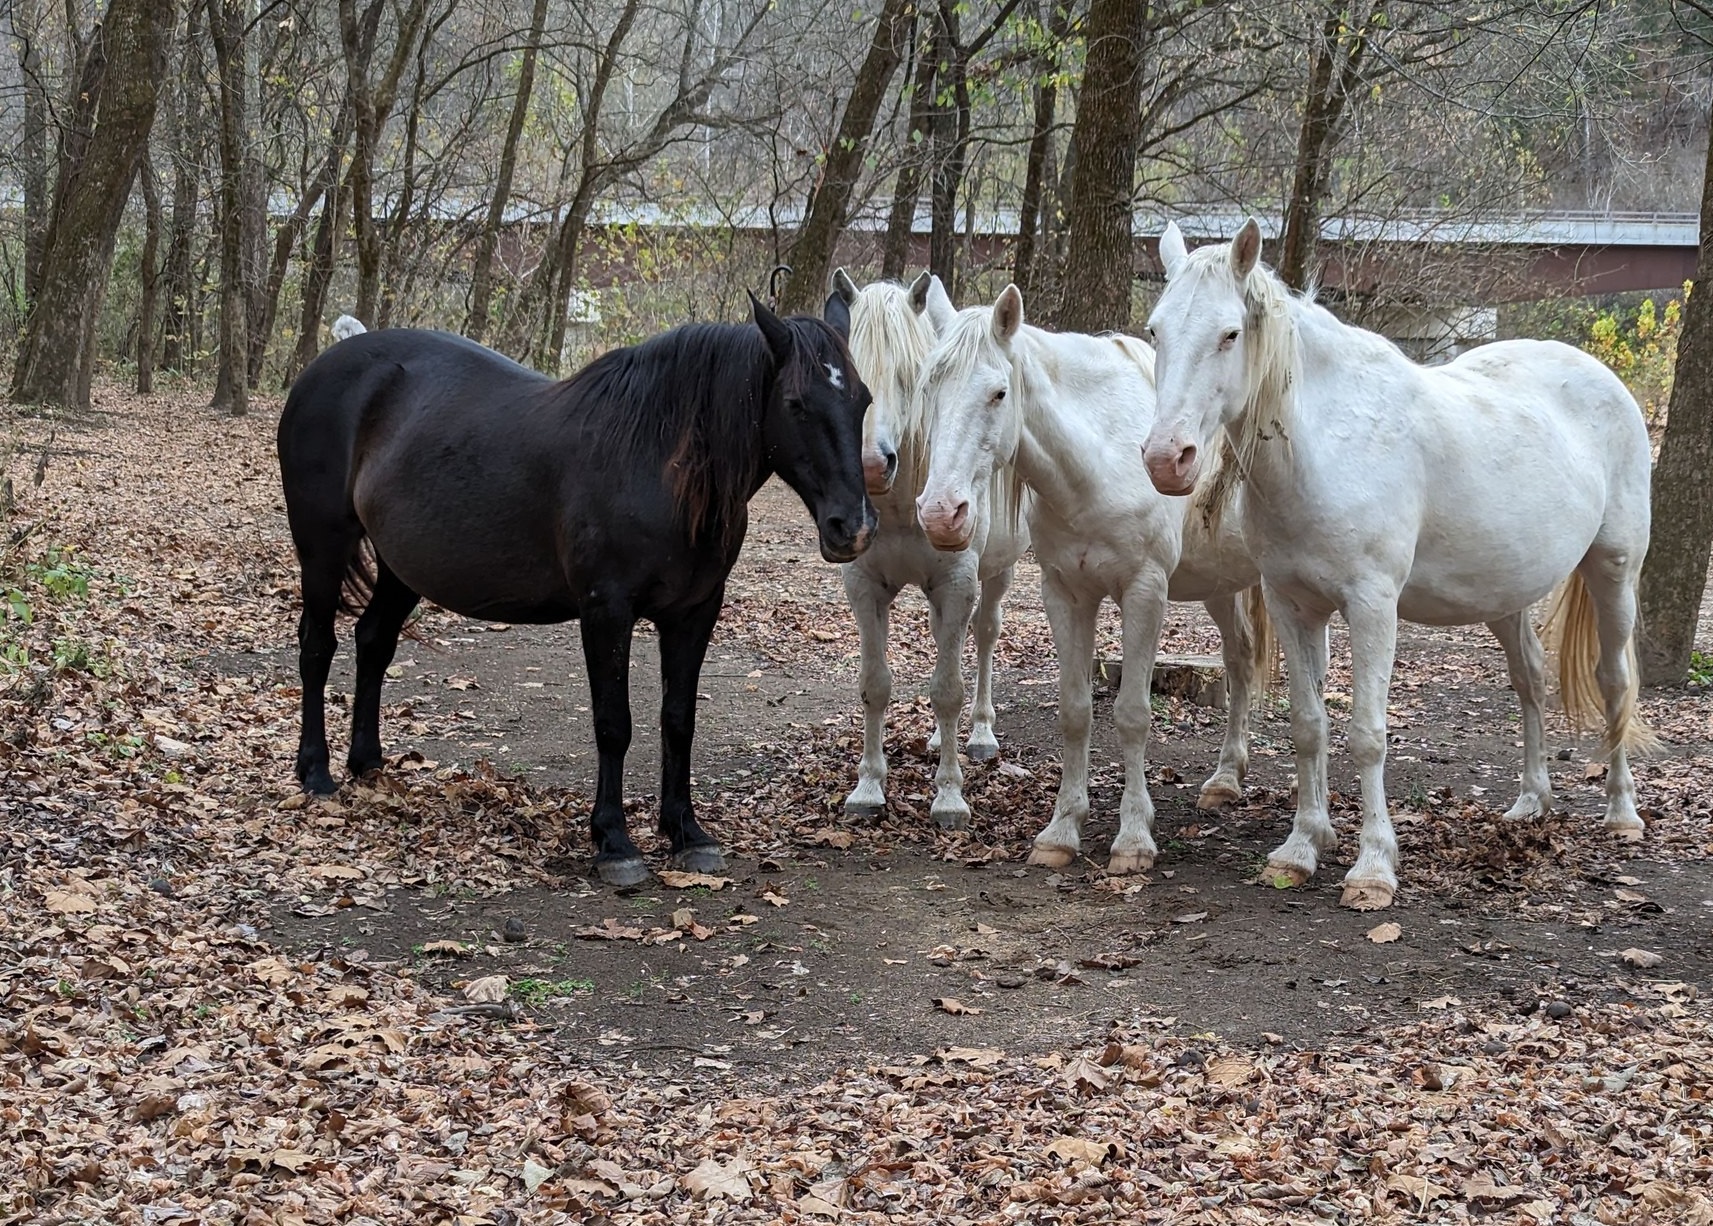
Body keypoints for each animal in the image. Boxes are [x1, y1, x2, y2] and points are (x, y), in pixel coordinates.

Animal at [277, 296, 876, 887]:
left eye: (864, 399)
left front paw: (687, 833)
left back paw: (368, 765)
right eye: (796, 403)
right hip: (323, 546)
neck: (656, 461)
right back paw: (316, 772)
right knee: (318, 647)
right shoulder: (606, 611)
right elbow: (614, 724)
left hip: (401, 568)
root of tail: (326, 367)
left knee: (373, 642)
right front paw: (614, 843)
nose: (852, 527)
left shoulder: (694, 613)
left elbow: (678, 720)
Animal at [823, 268, 1030, 828]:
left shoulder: (958, 585)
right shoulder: (865, 588)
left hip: (995, 578)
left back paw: (978, 734)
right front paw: (869, 787)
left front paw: (949, 796)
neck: (898, 507)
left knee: (983, 638)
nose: (871, 465)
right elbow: (876, 684)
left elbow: (948, 691)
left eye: (907, 378)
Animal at [914, 285, 1273, 873]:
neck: (1100, 459)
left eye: (998, 393)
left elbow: (1132, 714)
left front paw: (1133, 837)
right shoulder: (1065, 593)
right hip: (1223, 586)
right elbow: (1075, 710)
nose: (942, 513)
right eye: (928, 390)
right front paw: (1063, 829)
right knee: (1241, 661)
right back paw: (1225, 779)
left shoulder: (1145, 593)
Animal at [1140, 219, 1655, 910]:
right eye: (1155, 331)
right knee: (1530, 681)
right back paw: (1531, 803)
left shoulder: (1371, 606)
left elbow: (1366, 733)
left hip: (1614, 571)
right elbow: (1308, 725)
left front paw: (1374, 867)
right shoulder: (1292, 604)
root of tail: (1605, 380)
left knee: (1614, 680)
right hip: (1506, 596)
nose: (1166, 459)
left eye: (1229, 334)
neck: (1326, 444)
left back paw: (1622, 813)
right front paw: (1301, 849)